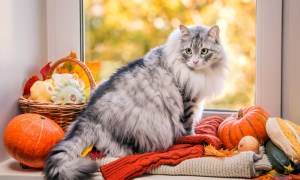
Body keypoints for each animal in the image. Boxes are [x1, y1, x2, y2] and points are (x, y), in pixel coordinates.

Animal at [43, 24, 226, 180]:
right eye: (188, 51)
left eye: (204, 51)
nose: (195, 61)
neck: (197, 74)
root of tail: (88, 115)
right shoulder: (187, 101)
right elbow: (188, 127)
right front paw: (193, 138)